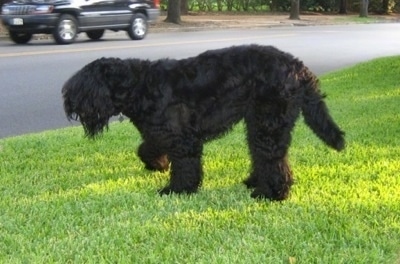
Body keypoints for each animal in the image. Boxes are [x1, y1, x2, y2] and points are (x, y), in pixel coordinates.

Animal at [61, 44, 344, 200]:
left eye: (84, 87)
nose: (68, 103)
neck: (139, 86)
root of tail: (298, 68)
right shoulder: (161, 132)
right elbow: (146, 148)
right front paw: (158, 164)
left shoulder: (183, 140)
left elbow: (185, 167)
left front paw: (177, 190)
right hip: (259, 123)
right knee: (264, 156)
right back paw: (256, 182)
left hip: (268, 124)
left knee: (274, 160)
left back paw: (271, 194)